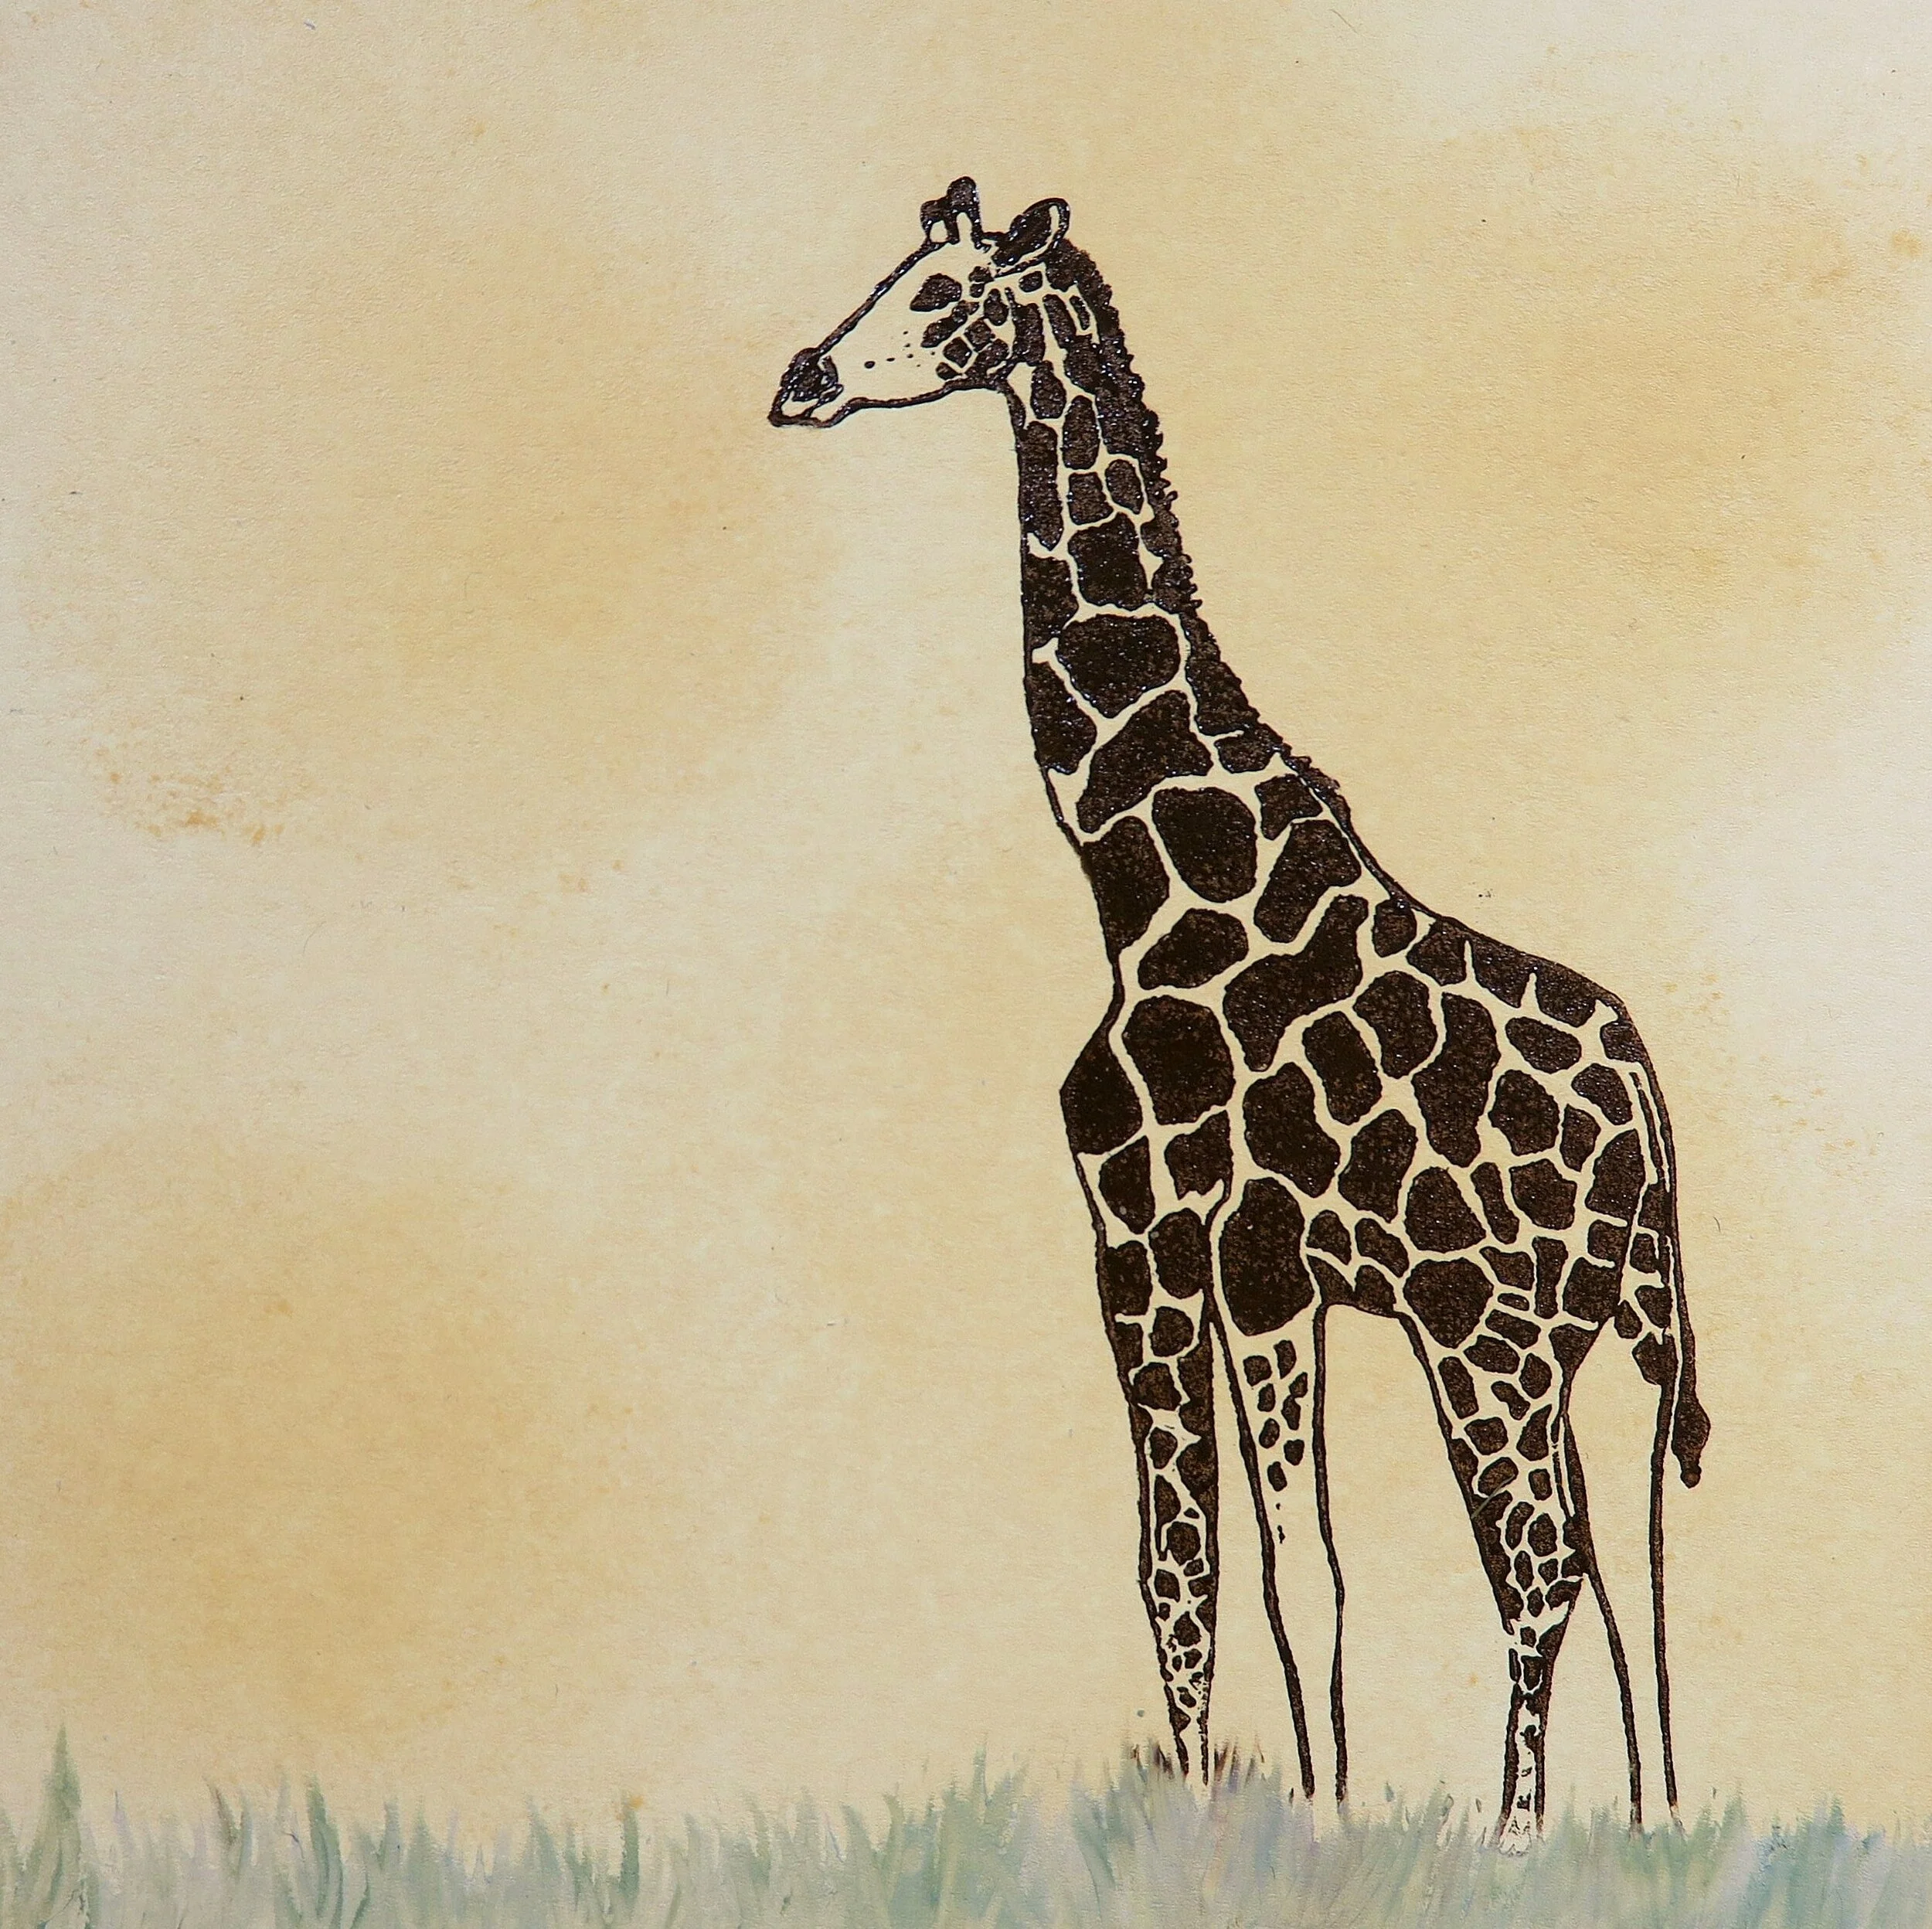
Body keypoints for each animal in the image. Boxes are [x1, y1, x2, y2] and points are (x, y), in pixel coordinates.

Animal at [769, 177, 1710, 1848]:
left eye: (940, 297)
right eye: (891, 271)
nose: (800, 379)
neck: (1137, 866)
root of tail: (1647, 1120)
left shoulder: (1140, 1231)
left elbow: (1177, 1565)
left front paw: (1214, 1821)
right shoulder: (1270, 1275)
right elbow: (1299, 1572)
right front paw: (1319, 1820)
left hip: (1485, 1330)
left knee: (1541, 1568)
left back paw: (1516, 1835)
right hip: (1610, 1340)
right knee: (1630, 1572)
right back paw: (1649, 1828)